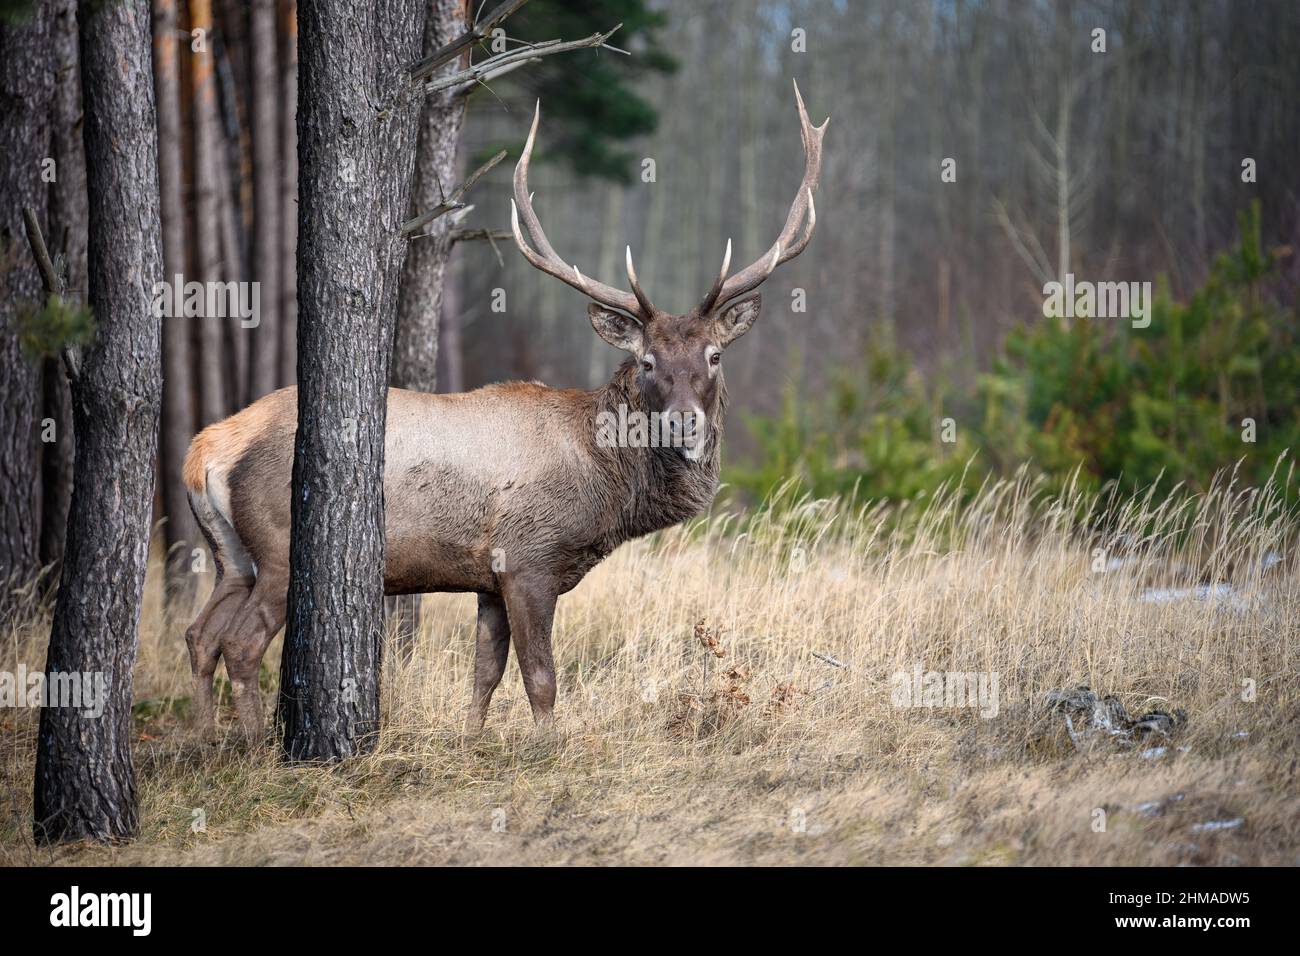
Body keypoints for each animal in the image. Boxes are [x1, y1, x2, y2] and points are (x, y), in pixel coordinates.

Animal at [182, 82, 826, 738]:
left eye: (715, 354)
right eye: (647, 361)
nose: (683, 420)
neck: (604, 489)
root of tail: (206, 449)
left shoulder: (487, 579)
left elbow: (484, 675)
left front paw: (471, 739)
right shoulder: (528, 561)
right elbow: (540, 678)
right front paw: (547, 746)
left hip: (230, 556)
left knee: (199, 634)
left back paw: (207, 735)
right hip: (279, 548)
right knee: (239, 643)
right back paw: (254, 742)